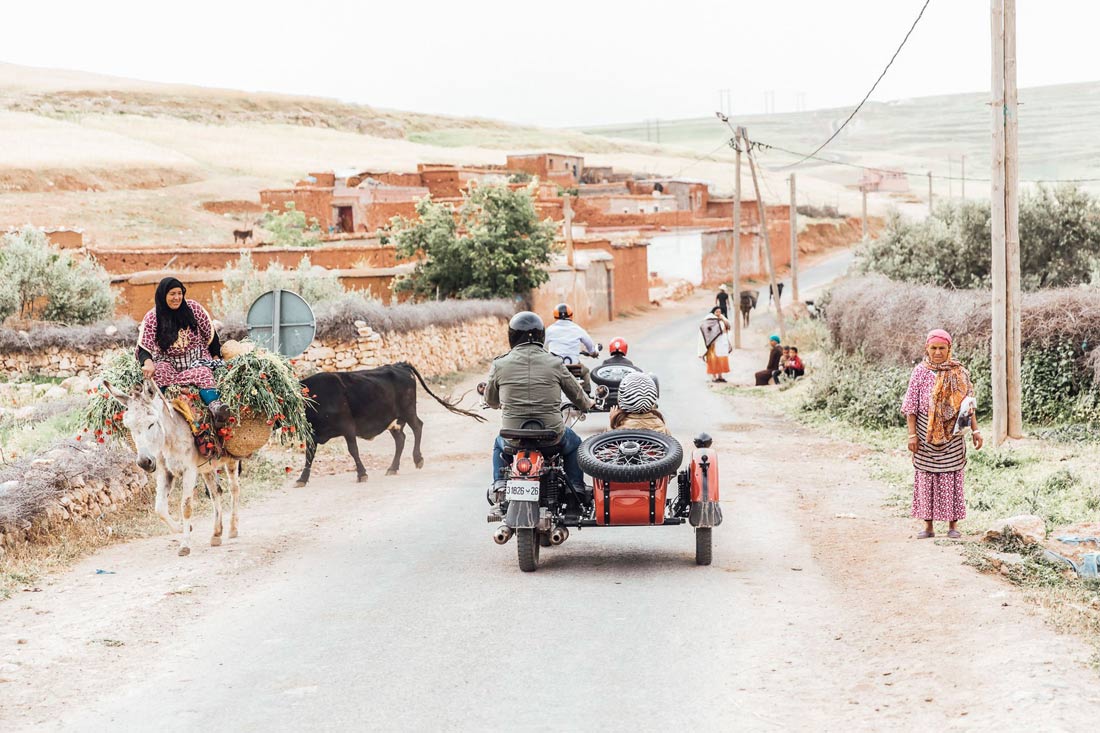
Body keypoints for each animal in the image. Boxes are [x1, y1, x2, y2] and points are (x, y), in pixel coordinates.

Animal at [294, 358, 484, 484]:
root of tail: (399, 365)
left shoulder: (348, 427)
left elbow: (353, 450)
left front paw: (362, 474)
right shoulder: (312, 433)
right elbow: (309, 455)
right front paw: (302, 479)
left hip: (408, 410)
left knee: (418, 427)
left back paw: (417, 459)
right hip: (393, 420)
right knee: (401, 439)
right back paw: (393, 467)